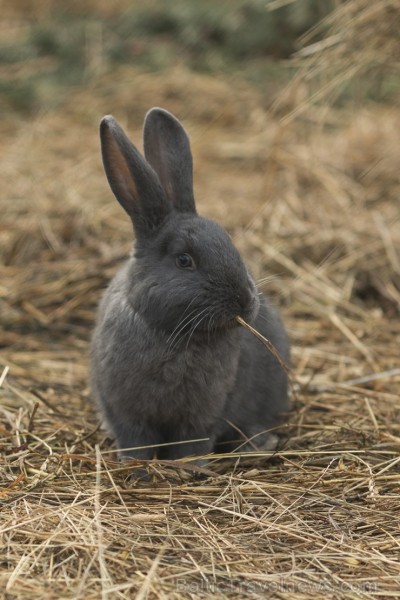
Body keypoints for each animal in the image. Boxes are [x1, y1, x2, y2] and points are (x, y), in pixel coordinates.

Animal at [90, 106, 290, 464]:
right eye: (184, 260)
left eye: (229, 243)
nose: (244, 301)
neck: (174, 333)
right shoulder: (124, 411)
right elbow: (136, 442)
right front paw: (138, 468)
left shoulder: (203, 413)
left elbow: (191, 442)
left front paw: (189, 467)